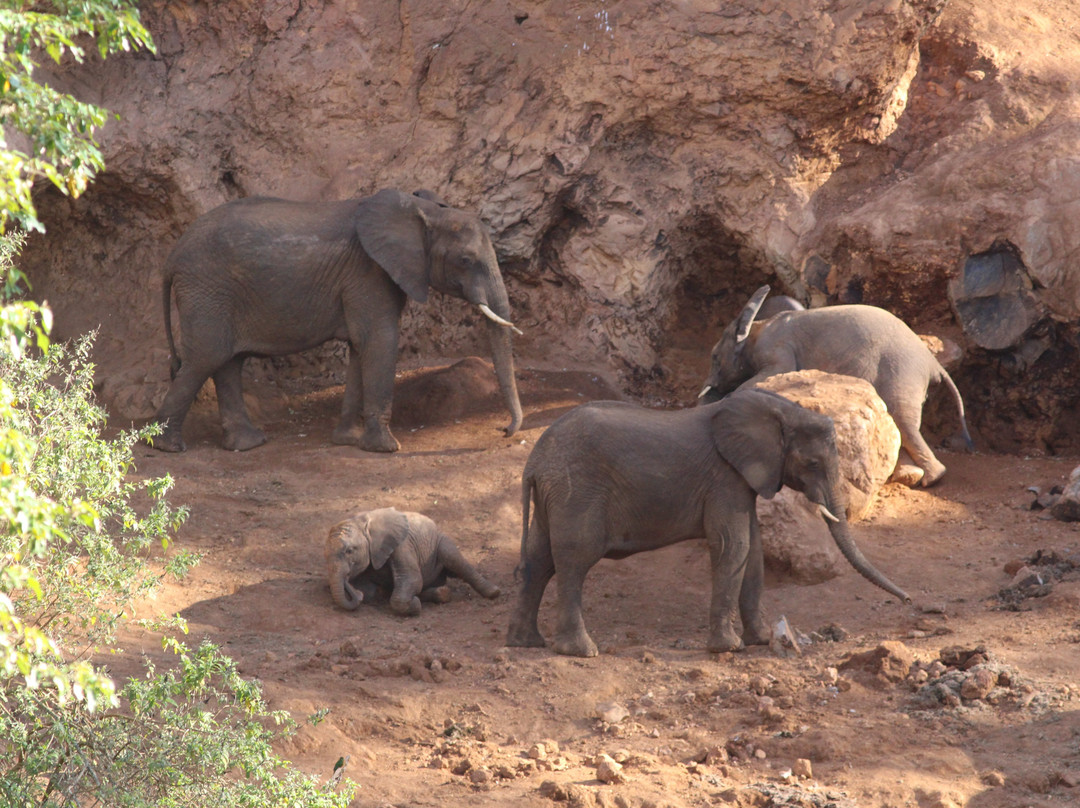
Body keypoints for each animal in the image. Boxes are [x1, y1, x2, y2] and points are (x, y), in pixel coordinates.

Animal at [152, 188, 522, 453]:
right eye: (466, 260)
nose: (503, 431)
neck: (424, 212)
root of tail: (171, 258)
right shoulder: (368, 272)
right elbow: (381, 341)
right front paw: (386, 448)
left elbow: (361, 346)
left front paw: (348, 439)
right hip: (207, 289)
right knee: (206, 357)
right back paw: (168, 447)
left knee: (228, 362)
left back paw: (247, 445)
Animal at [325, 507, 500, 615]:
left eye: (349, 551)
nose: (355, 592)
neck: (361, 522)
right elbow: (369, 591)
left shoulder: (402, 545)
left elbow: (413, 579)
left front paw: (415, 605)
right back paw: (442, 594)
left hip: (440, 541)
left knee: (455, 560)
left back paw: (493, 593)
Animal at [505, 389, 909, 658]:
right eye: (811, 464)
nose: (908, 599)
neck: (780, 408)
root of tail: (533, 463)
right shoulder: (725, 477)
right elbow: (734, 545)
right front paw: (728, 648)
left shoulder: (741, 479)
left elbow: (753, 552)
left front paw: (759, 640)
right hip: (577, 492)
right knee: (574, 560)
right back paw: (581, 651)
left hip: (555, 496)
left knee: (539, 560)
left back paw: (526, 643)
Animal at [698, 285, 973, 487]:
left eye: (714, 357)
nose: (710, 387)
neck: (756, 325)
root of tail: (933, 364)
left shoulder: (777, 348)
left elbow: (774, 371)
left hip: (903, 376)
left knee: (904, 421)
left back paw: (929, 480)